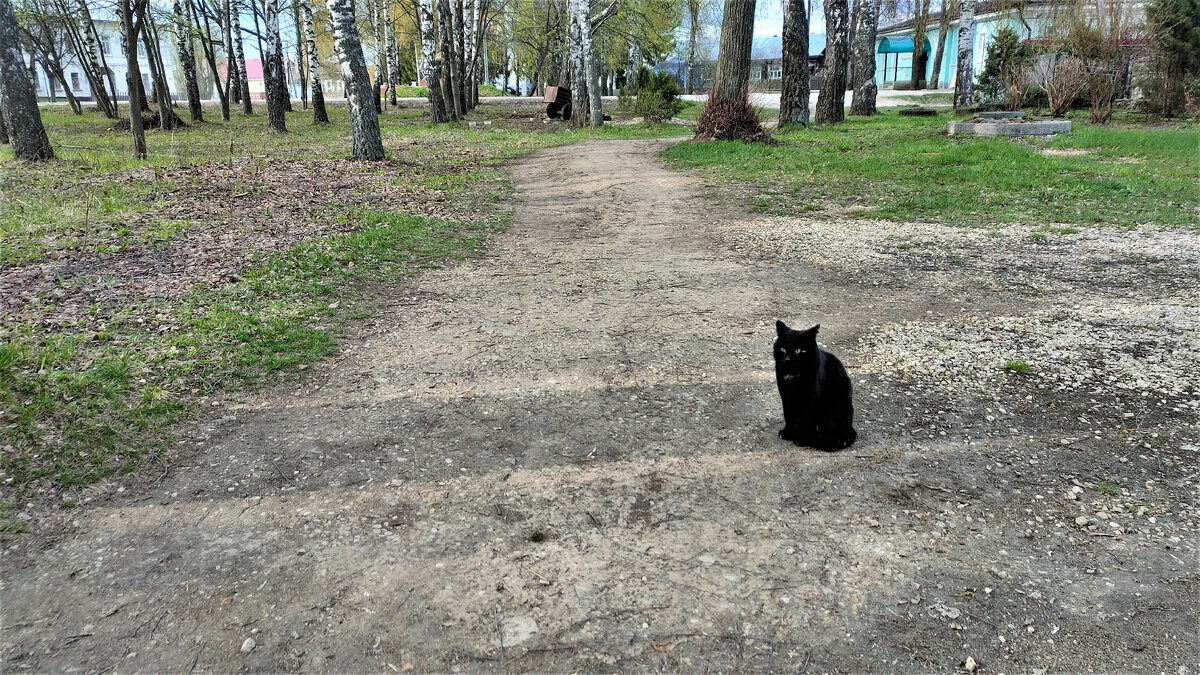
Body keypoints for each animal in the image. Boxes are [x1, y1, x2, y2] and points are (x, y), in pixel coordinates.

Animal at [772, 321, 859, 451]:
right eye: (783, 348)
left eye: (798, 350)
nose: (787, 359)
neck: (794, 373)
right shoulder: (786, 395)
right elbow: (789, 415)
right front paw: (788, 432)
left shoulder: (811, 397)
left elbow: (805, 419)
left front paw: (800, 438)